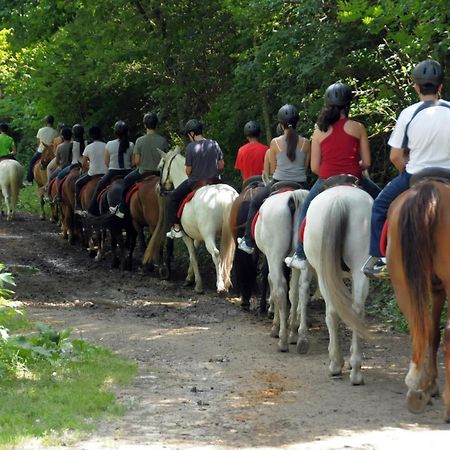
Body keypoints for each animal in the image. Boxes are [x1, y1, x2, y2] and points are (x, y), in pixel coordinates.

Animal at [160, 146, 241, 294]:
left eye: (161, 166)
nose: (161, 188)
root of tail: (225, 196)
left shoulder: (186, 235)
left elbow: (192, 255)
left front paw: (197, 284)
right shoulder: (197, 236)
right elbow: (195, 253)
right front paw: (189, 277)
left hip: (209, 234)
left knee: (216, 254)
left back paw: (220, 285)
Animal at [255, 188, 312, 354]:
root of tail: (293, 197)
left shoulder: (271, 258)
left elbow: (273, 285)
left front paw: (276, 325)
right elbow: (293, 293)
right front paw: (293, 332)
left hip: (274, 255)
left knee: (280, 289)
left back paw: (282, 340)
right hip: (304, 258)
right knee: (303, 289)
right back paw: (301, 338)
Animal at [302, 185, 372, 384]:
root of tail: (339, 200)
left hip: (323, 271)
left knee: (332, 312)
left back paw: (335, 363)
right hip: (359, 268)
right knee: (357, 310)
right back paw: (356, 370)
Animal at [386, 179, 450, 422]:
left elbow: (432, 333)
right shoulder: (439, 289)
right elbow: (434, 333)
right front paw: (431, 385)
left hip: (403, 283)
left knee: (419, 329)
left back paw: (416, 388)